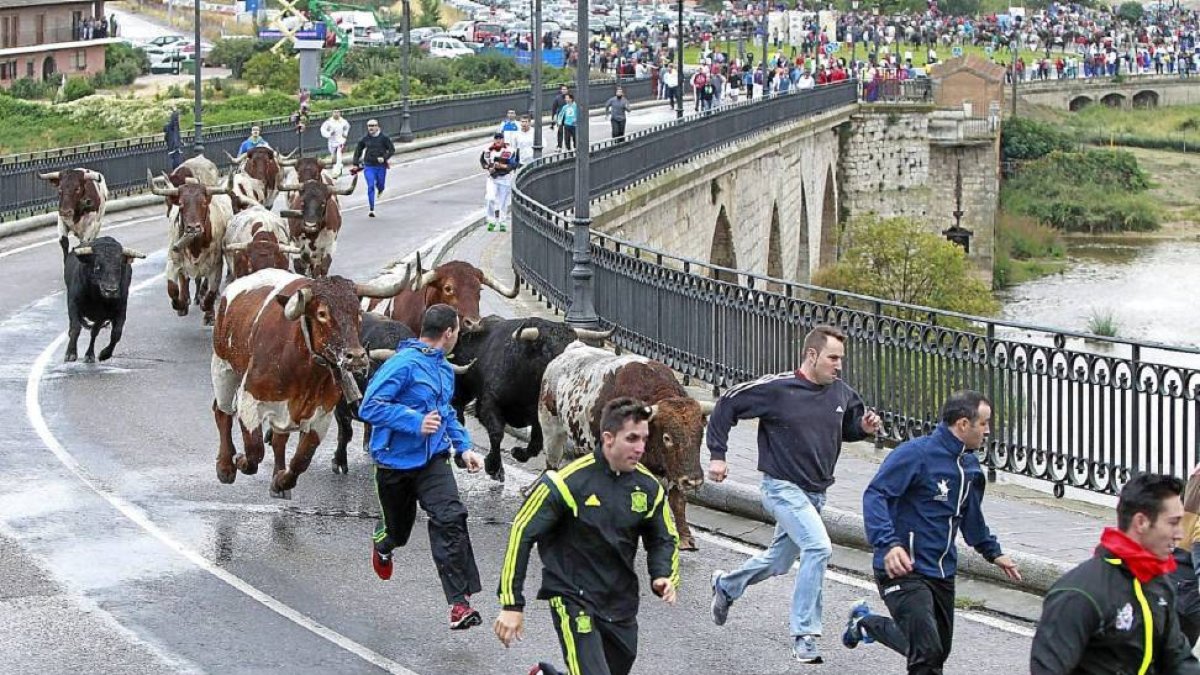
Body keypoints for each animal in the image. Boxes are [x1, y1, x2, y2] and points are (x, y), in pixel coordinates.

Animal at [148, 171, 232, 321]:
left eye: (203, 203)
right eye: (181, 204)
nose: (193, 228)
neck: (195, 246)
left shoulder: (216, 265)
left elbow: (211, 292)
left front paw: (208, 311)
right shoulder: (173, 261)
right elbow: (172, 289)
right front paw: (180, 304)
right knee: (184, 279)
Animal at [216, 265, 417, 497]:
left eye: (357, 313)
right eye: (322, 313)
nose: (356, 357)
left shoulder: (322, 412)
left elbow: (302, 459)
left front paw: (281, 481)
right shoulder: (250, 398)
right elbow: (255, 452)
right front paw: (239, 460)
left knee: (279, 437)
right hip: (223, 368)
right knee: (221, 411)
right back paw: (225, 467)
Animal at [446, 314, 614, 478]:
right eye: (548, 349)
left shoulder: (541, 415)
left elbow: (536, 442)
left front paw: (518, 453)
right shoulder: (488, 403)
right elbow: (496, 433)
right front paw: (494, 467)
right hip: (462, 388)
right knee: (457, 411)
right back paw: (460, 457)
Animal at [542, 341, 715, 547]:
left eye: (701, 434)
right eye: (667, 438)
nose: (694, 480)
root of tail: (571, 350)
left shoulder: (673, 470)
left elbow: (677, 499)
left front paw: (685, 537)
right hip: (550, 429)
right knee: (551, 465)